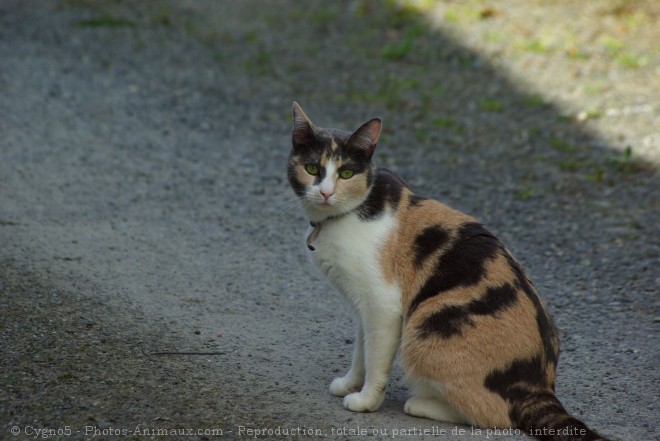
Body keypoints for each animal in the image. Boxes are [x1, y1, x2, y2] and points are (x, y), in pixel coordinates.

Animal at [288, 100, 608, 440]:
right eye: (312, 169)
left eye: (346, 172)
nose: (325, 192)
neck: (345, 216)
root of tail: (539, 388)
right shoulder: (362, 306)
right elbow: (361, 351)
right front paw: (350, 383)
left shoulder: (382, 305)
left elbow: (376, 360)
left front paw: (365, 400)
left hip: (426, 326)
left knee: (495, 415)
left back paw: (419, 403)